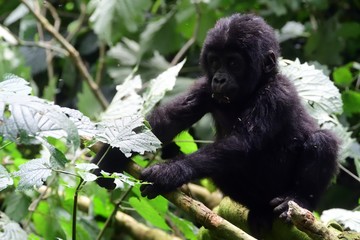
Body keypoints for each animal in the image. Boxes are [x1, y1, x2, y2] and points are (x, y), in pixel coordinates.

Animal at [92, 13, 338, 232]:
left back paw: (296, 200)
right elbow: (166, 121)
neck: (256, 87)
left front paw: (172, 171)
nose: (219, 79)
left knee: (322, 140)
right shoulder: (204, 87)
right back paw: (260, 211)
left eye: (233, 63)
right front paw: (108, 159)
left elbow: (242, 143)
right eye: (215, 61)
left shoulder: (276, 95)